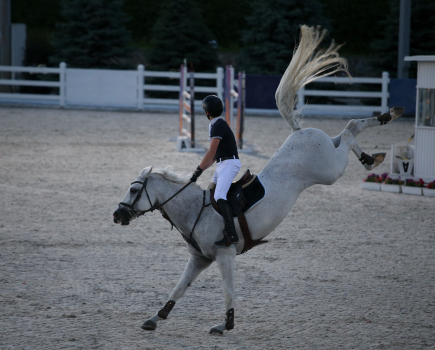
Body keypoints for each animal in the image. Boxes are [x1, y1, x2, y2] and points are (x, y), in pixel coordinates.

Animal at [113, 26, 406, 334]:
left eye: (133, 189)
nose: (116, 215)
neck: (194, 211)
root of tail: (298, 131)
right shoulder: (199, 259)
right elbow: (178, 289)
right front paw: (156, 317)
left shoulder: (225, 255)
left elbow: (228, 290)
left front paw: (226, 324)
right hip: (328, 154)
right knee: (347, 129)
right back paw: (380, 133)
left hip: (329, 170)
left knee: (349, 132)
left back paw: (376, 148)